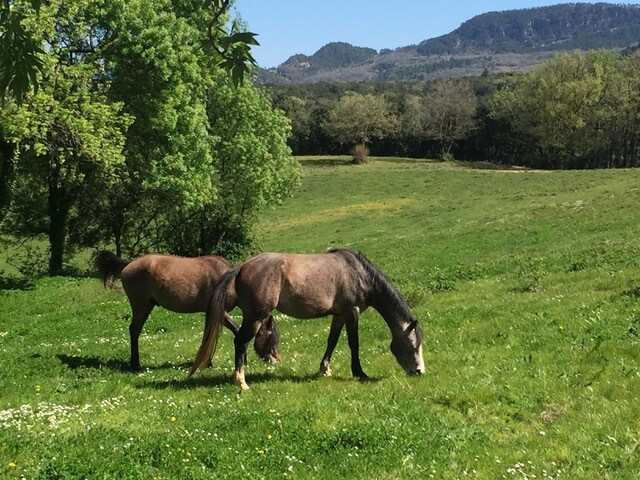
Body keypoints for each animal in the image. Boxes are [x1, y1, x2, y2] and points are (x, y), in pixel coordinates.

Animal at [94, 251, 280, 372]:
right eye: (270, 338)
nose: (274, 360)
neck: (228, 280)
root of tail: (129, 263)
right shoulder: (219, 312)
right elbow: (235, 330)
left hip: (148, 306)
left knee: (136, 330)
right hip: (140, 305)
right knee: (134, 330)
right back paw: (135, 364)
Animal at [188, 248, 422, 390]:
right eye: (414, 346)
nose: (419, 371)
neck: (358, 272)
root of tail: (241, 267)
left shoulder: (339, 316)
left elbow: (332, 342)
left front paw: (325, 369)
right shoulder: (351, 313)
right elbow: (353, 344)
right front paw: (360, 373)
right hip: (256, 316)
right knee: (241, 342)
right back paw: (241, 381)